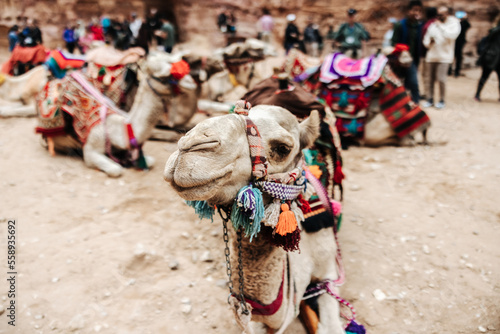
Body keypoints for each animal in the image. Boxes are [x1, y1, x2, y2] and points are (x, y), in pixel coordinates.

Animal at [37, 54, 198, 177]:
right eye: (164, 77)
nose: (192, 83)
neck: (120, 130)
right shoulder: (91, 148)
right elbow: (116, 169)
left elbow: (150, 161)